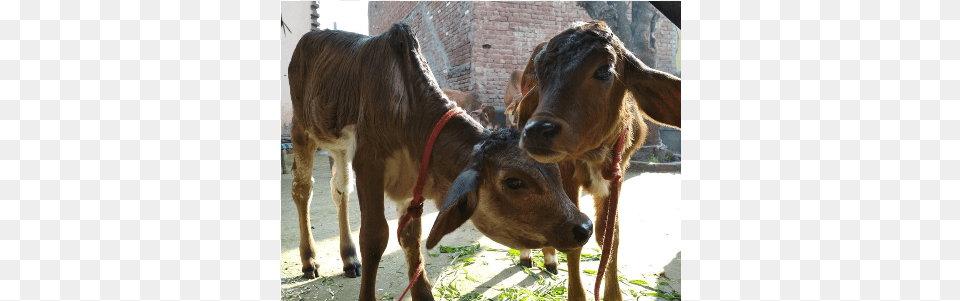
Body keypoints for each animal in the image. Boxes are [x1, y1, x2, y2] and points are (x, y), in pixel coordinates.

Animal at [284, 24, 592, 300]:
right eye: (513, 182)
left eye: (554, 170)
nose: (585, 226)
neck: (408, 111)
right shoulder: (369, 163)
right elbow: (374, 237)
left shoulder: (412, 179)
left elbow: (411, 238)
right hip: (301, 129)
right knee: (302, 188)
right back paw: (309, 259)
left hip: (338, 148)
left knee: (340, 191)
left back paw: (348, 258)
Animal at [516, 21, 684, 300]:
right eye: (538, 73)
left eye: (605, 70)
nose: (537, 130)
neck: (594, 154)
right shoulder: (565, 172)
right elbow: (574, 234)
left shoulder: (619, 172)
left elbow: (610, 235)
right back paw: (536, 257)